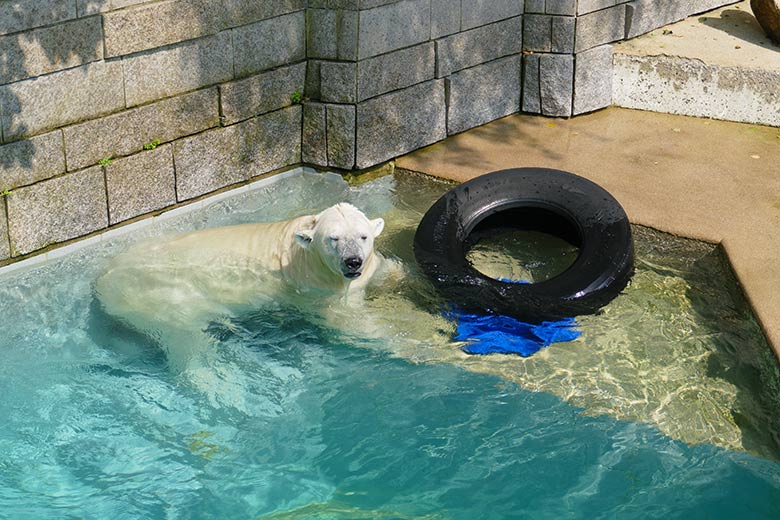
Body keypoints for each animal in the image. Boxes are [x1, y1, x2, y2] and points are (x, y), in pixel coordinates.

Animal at [94, 203, 394, 370]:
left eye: (363, 236)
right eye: (334, 239)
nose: (352, 261)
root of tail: (102, 280)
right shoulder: (315, 288)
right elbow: (348, 324)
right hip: (160, 295)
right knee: (187, 340)